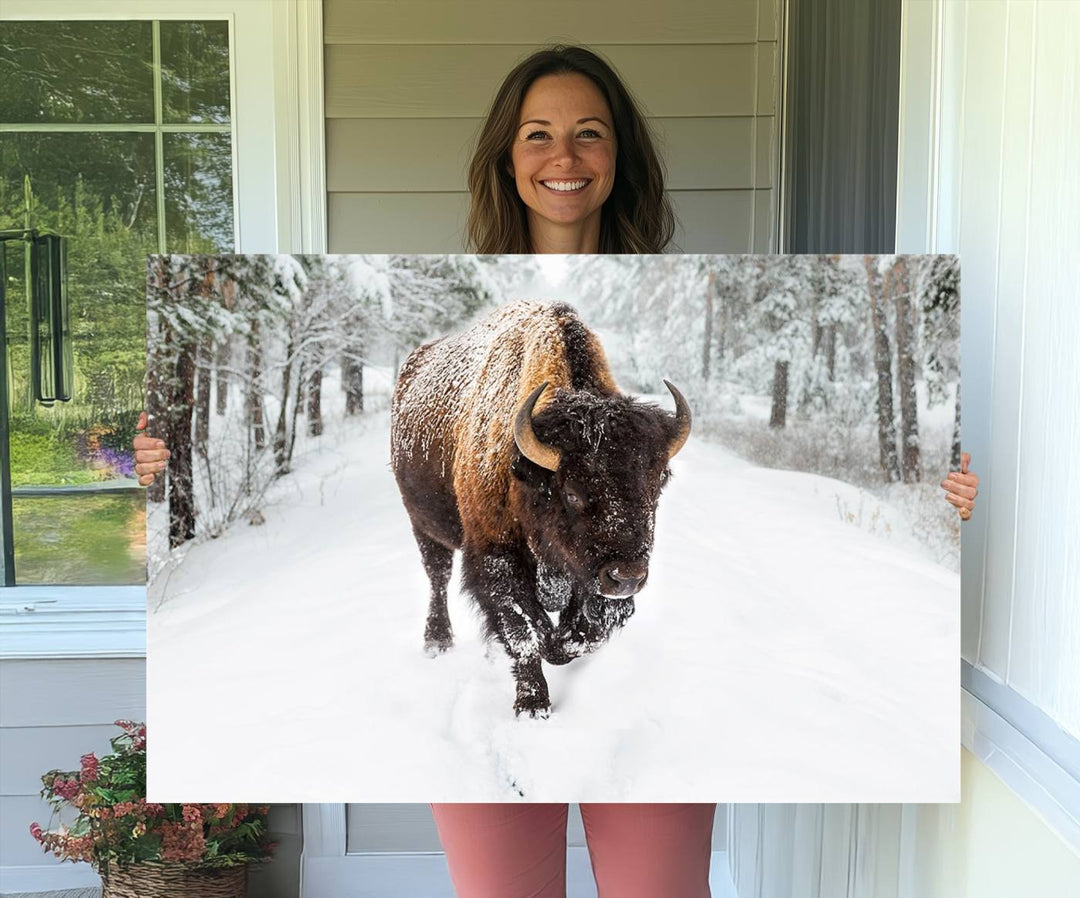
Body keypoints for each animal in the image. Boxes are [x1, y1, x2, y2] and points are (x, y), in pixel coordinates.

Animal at [393, 302, 686, 717]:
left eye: (658, 483)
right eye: (573, 492)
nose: (627, 577)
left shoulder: (587, 576)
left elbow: (584, 633)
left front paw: (558, 646)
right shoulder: (496, 557)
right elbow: (525, 631)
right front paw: (532, 705)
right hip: (423, 524)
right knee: (438, 576)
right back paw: (437, 641)